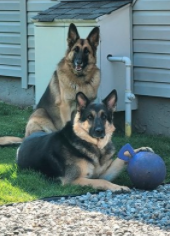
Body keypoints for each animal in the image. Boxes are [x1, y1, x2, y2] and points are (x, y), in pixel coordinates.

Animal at [16, 90, 153, 192]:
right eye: (89, 117)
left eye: (104, 117)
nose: (99, 131)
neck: (93, 145)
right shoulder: (72, 181)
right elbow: (101, 181)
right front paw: (118, 187)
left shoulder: (104, 172)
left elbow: (120, 159)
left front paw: (140, 150)